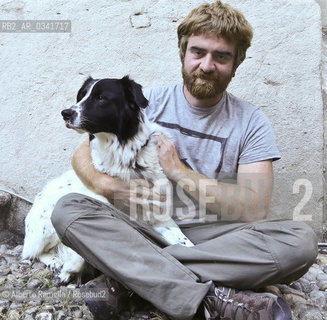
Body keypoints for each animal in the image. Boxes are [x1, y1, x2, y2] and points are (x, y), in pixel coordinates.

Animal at [23, 77, 195, 282]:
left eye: (101, 98)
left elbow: (187, 243)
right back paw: (55, 262)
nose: (65, 113)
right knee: (32, 252)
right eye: (81, 96)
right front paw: (69, 268)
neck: (127, 157)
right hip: (46, 225)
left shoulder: (159, 216)